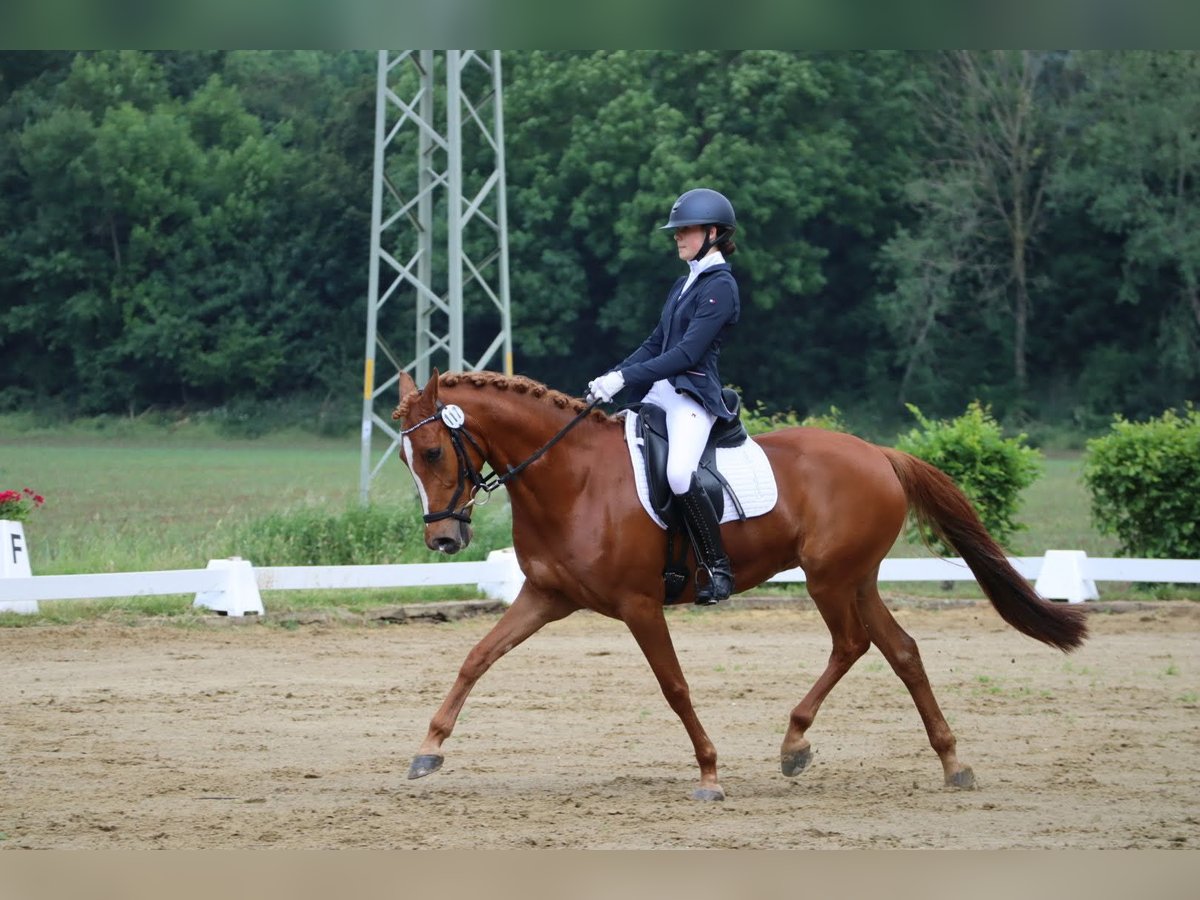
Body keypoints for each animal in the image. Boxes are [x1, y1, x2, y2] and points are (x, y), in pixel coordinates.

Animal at [391, 369, 1089, 801]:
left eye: (433, 452)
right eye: (404, 458)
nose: (443, 541)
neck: (572, 477)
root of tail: (880, 454)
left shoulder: (640, 606)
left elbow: (674, 688)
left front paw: (709, 773)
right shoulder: (544, 597)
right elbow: (476, 658)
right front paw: (428, 751)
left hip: (829, 579)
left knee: (853, 645)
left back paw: (796, 744)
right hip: (856, 578)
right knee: (902, 651)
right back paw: (951, 763)